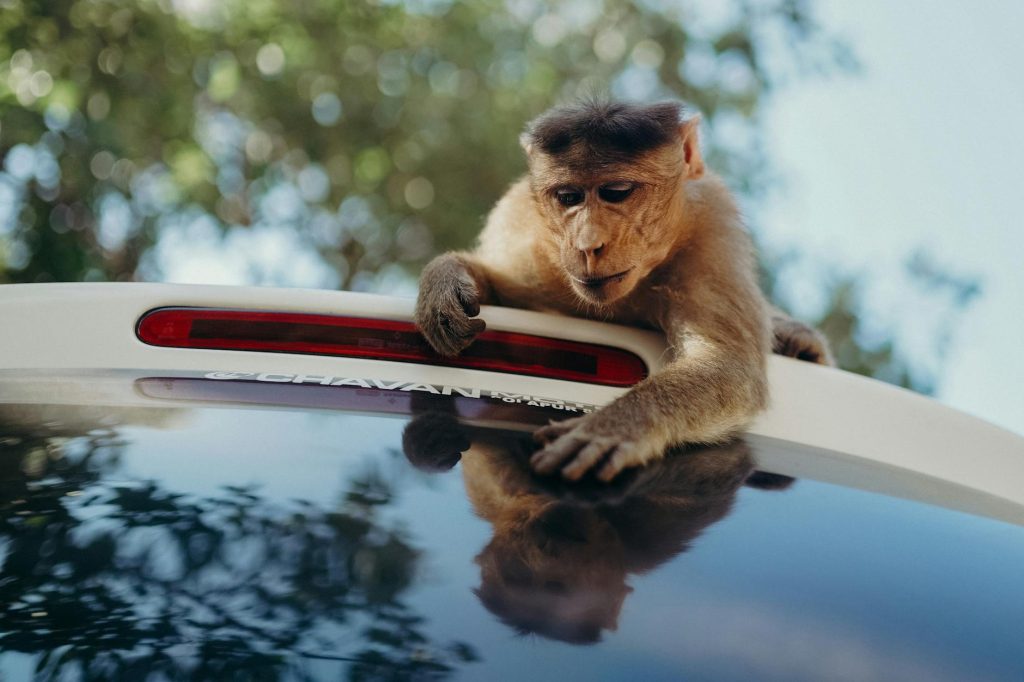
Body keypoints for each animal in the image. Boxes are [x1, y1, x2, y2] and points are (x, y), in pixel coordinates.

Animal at [415, 100, 832, 482]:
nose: (588, 244)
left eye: (616, 192)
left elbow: (730, 367)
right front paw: (448, 277)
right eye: (568, 197)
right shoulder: (527, 240)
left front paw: (617, 424)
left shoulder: (711, 240)